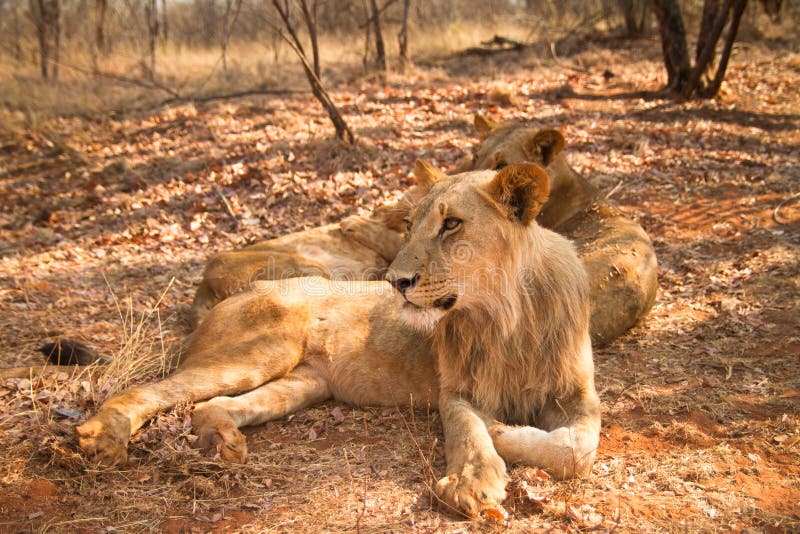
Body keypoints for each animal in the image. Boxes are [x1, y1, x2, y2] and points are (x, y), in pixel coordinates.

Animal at [75, 162, 600, 520]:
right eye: (408, 225)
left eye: (452, 224)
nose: (395, 282)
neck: (506, 317)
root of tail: (241, 290)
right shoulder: (455, 391)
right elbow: (471, 432)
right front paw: (476, 476)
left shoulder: (579, 392)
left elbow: (578, 449)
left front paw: (505, 435)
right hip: (264, 351)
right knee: (144, 392)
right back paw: (103, 438)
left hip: (303, 384)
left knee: (210, 405)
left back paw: (222, 442)